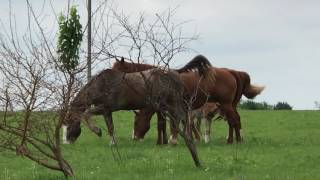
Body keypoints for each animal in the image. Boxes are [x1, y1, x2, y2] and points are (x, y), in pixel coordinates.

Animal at [111, 55, 264, 144]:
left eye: (136, 122)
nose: (135, 138)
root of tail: (230, 72)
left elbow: (167, 124)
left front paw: (169, 141)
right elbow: (165, 124)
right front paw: (164, 141)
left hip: (226, 104)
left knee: (234, 120)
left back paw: (237, 141)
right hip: (229, 105)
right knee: (234, 121)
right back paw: (232, 139)